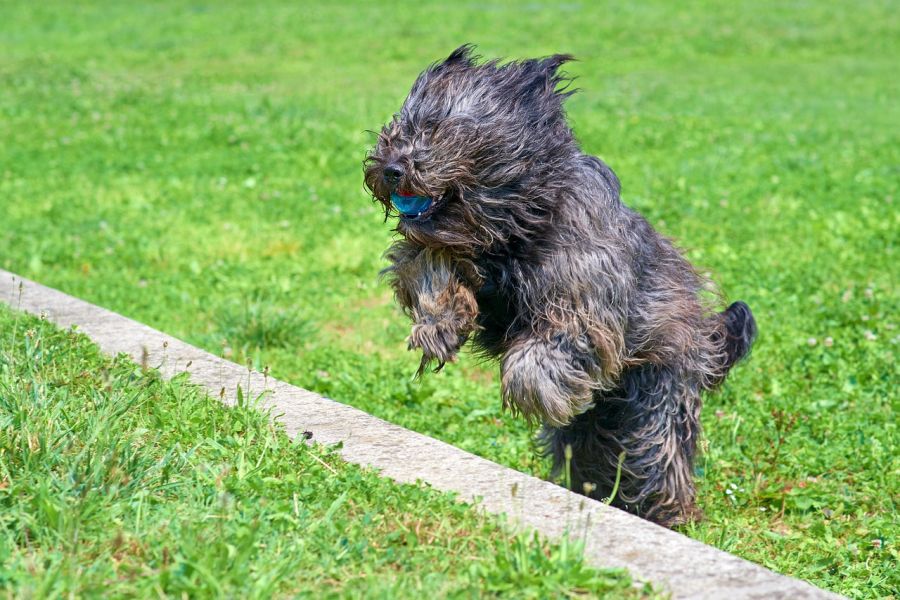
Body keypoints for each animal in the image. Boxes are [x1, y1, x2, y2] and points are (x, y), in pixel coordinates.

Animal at [362, 45, 756, 524]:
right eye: (398, 127)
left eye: (437, 129)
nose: (391, 168)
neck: (514, 227)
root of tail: (706, 335)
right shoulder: (434, 246)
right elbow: (423, 264)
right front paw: (441, 325)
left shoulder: (587, 295)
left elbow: (551, 343)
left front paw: (537, 389)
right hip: (592, 434)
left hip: (656, 396)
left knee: (660, 455)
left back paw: (671, 514)